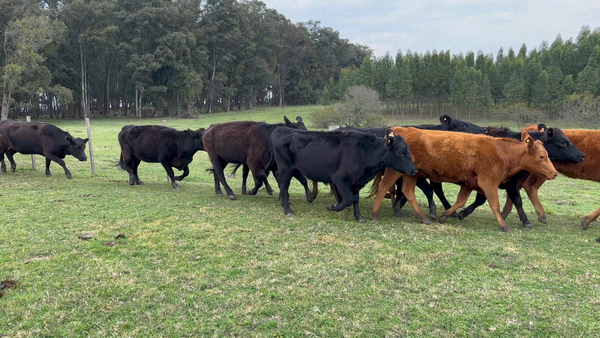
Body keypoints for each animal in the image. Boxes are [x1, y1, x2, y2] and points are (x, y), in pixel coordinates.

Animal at [268, 127, 418, 222]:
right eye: (400, 152)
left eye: (409, 151)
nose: (414, 170)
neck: (365, 151)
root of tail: (282, 130)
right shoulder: (339, 179)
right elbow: (348, 199)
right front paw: (333, 207)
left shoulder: (357, 183)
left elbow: (355, 199)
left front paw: (359, 217)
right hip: (286, 169)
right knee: (283, 186)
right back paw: (288, 210)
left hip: (291, 170)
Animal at [370, 127, 556, 232]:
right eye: (542, 156)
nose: (554, 173)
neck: (502, 152)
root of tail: (401, 131)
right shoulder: (489, 183)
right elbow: (494, 204)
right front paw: (504, 225)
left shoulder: (468, 184)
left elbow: (460, 201)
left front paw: (446, 216)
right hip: (395, 172)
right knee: (384, 187)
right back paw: (375, 213)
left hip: (412, 174)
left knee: (408, 192)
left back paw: (423, 217)